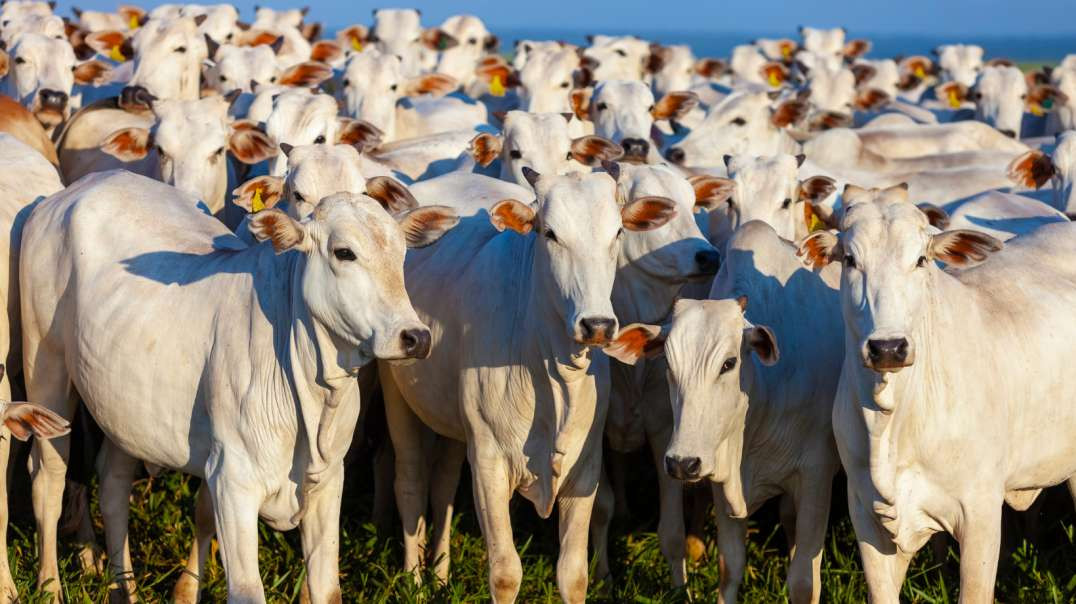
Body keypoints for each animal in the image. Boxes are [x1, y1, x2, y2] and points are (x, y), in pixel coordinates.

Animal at [19, 170, 458, 602]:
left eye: (401, 255)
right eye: (344, 252)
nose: (415, 336)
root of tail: (78, 188)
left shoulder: (328, 482)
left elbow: (327, 589)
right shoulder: (233, 482)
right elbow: (246, 590)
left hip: (122, 406)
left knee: (112, 484)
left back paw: (123, 589)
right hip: (46, 371)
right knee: (48, 481)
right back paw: (50, 587)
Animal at [800, 184, 1076, 602]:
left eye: (921, 260)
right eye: (849, 259)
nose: (888, 347)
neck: (893, 422)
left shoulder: (980, 515)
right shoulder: (865, 514)